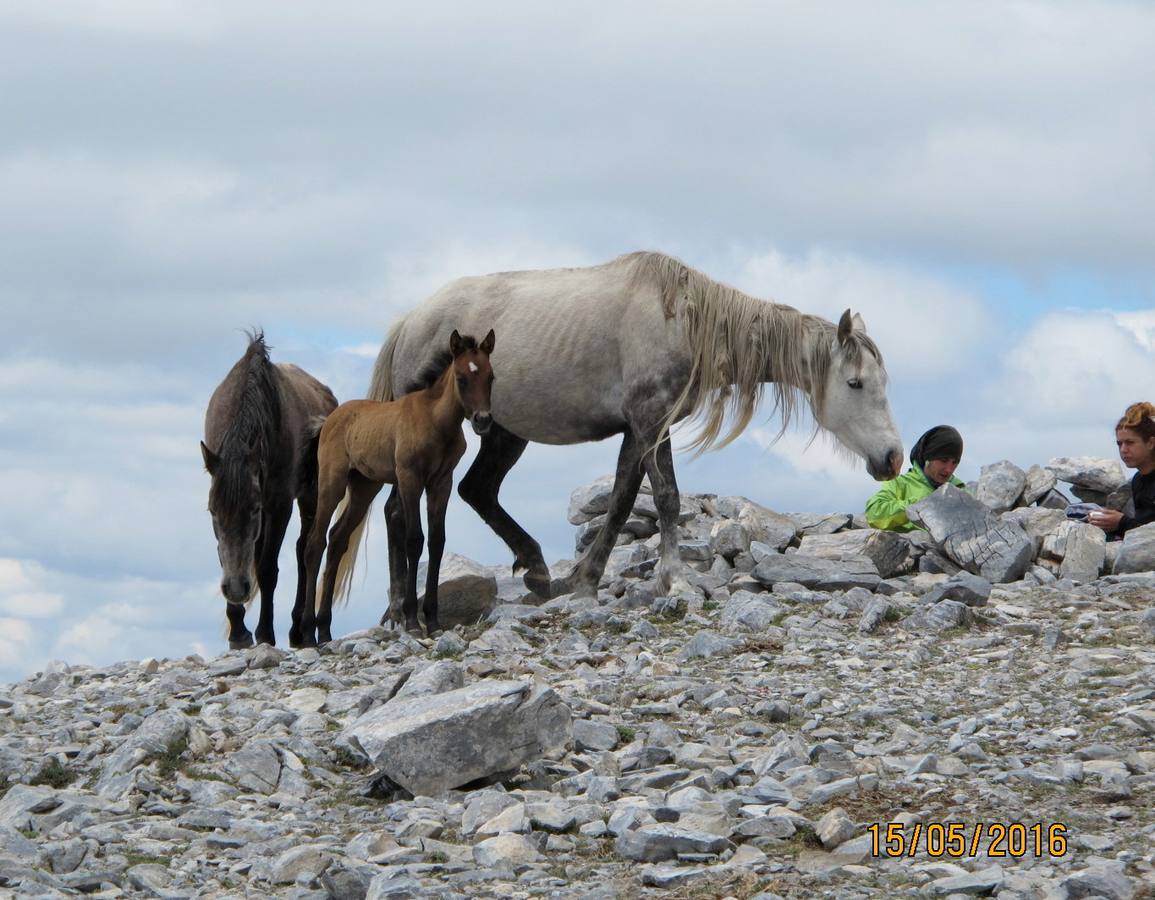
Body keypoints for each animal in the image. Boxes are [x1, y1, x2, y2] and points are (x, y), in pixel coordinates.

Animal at [203, 330, 337, 646]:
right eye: (212, 510)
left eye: (253, 508)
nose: (236, 589)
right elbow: (228, 553)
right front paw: (238, 631)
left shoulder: (278, 505)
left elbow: (267, 569)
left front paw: (264, 633)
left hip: (311, 496)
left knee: (304, 550)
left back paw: (299, 629)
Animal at [297, 328, 492, 642]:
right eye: (462, 377)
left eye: (490, 377)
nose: (482, 420)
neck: (436, 421)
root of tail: (328, 420)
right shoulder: (409, 478)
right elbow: (414, 540)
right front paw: (412, 621)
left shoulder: (441, 483)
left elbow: (437, 542)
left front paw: (433, 620)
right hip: (332, 482)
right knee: (316, 543)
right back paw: (307, 634)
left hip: (365, 487)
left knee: (337, 539)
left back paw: (325, 630)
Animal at [367, 253, 900, 600]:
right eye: (854, 383)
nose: (893, 457)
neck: (682, 322)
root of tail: (410, 322)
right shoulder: (651, 422)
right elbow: (665, 497)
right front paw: (674, 580)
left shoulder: (637, 431)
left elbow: (623, 498)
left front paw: (584, 580)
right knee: (397, 510)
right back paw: (399, 611)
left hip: (503, 433)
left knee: (477, 491)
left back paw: (537, 571)